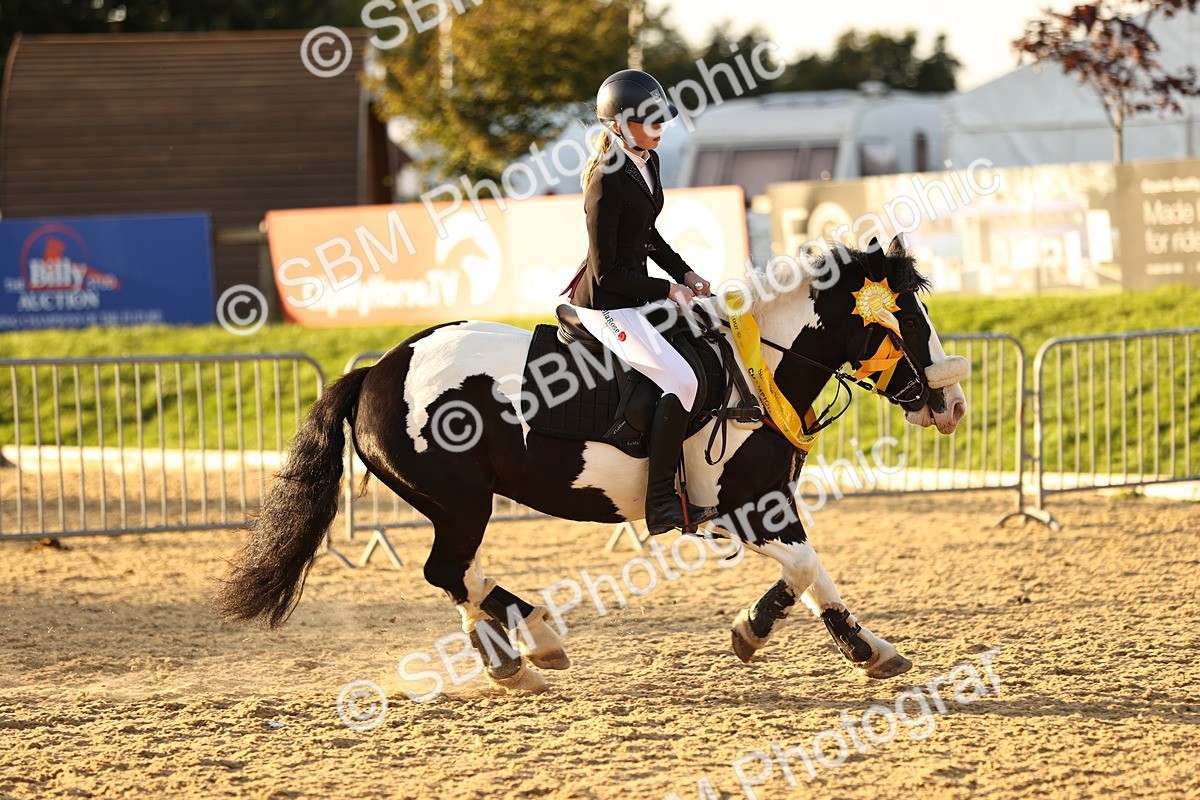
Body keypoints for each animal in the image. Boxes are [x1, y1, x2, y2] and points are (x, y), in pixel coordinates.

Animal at [214, 235, 969, 695]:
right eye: (908, 319)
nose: (953, 403)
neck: (755, 370)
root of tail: (377, 370)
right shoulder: (742, 511)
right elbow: (810, 570)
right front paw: (850, 647)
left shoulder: (766, 507)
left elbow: (803, 579)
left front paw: (776, 634)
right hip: (461, 503)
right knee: (448, 571)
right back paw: (535, 640)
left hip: (457, 506)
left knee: (458, 578)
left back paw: (512, 659)